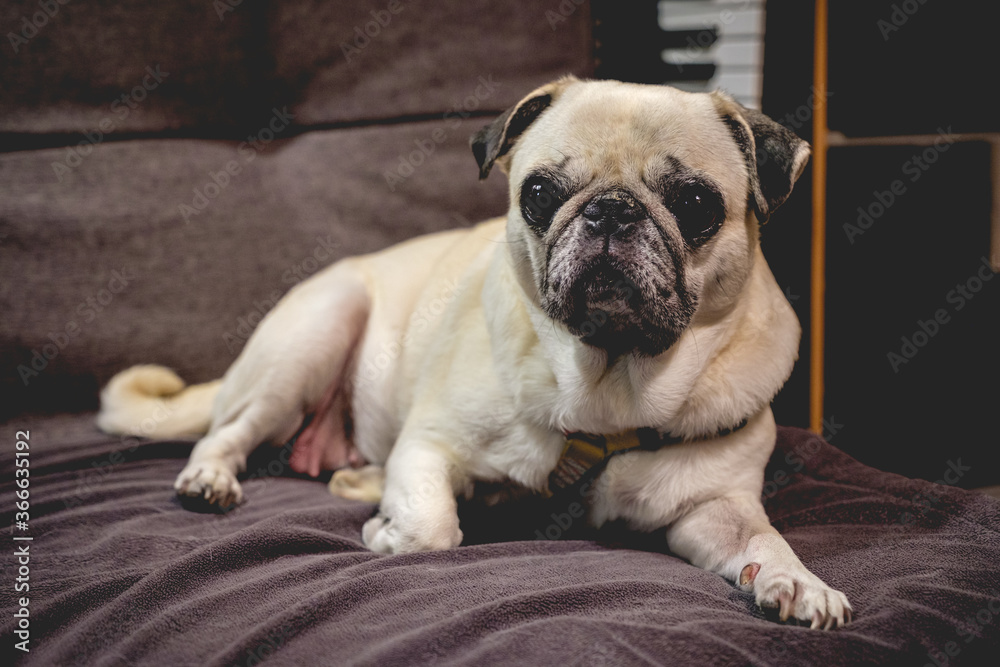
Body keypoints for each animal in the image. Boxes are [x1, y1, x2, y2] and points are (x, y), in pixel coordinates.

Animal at [97, 75, 852, 628]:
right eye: (540, 192)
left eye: (695, 203)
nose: (610, 209)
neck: (607, 386)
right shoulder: (429, 445)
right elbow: (434, 529)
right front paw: (392, 534)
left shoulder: (714, 504)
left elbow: (761, 537)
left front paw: (795, 579)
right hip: (308, 340)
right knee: (227, 430)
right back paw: (212, 479)